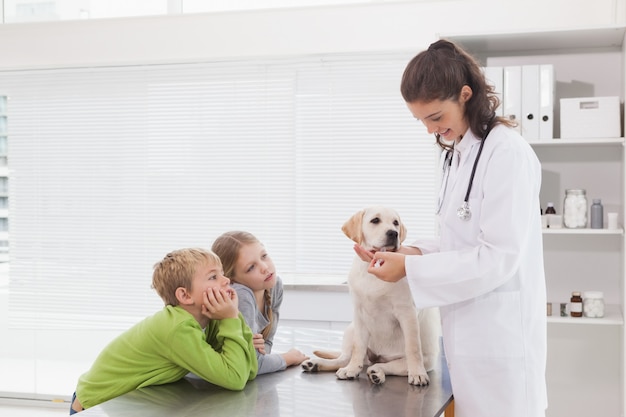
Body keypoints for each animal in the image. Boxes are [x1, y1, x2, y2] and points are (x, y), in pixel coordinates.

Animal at [302, 206, 438, 386]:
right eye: (375, 220)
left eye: (396, 223)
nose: (393, 233)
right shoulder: (359, 314)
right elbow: (358, 348)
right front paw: (352, 369)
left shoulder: (407, 313)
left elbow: (413, 348)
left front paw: (418, 374)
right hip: (351, 329)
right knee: (344, 358)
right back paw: (318, 364)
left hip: (419, 361)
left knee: (385, 365)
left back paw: (377, 373)